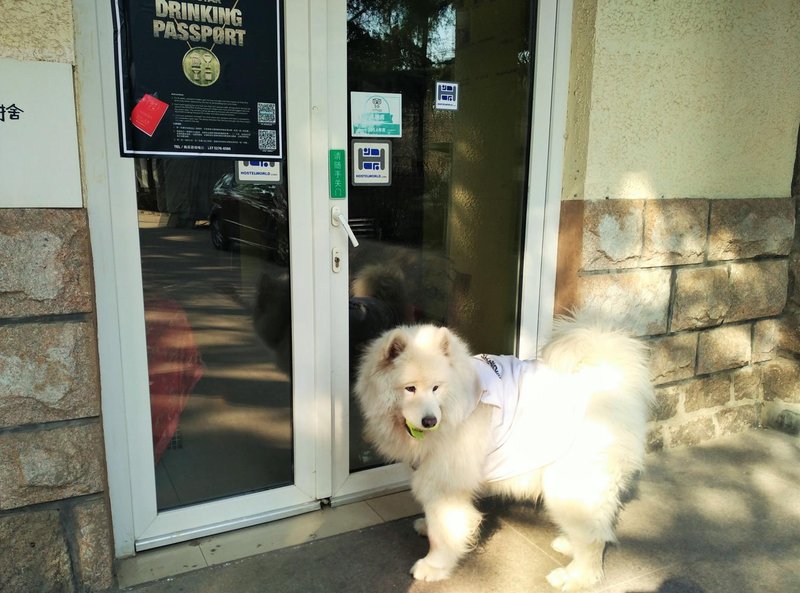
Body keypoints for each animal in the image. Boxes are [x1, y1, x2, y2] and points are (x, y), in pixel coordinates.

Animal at [358, 312, 656, 588]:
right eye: (410, 389)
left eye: (435, 388)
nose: (430, 421)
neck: (458, 404)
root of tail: (610, 380)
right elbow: (435, 520)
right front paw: (425, 526)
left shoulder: (447, 482)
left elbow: (445, 530)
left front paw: (433, 566)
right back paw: (567, 544)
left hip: (569, 485)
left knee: (594, 539)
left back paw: (574, 578)